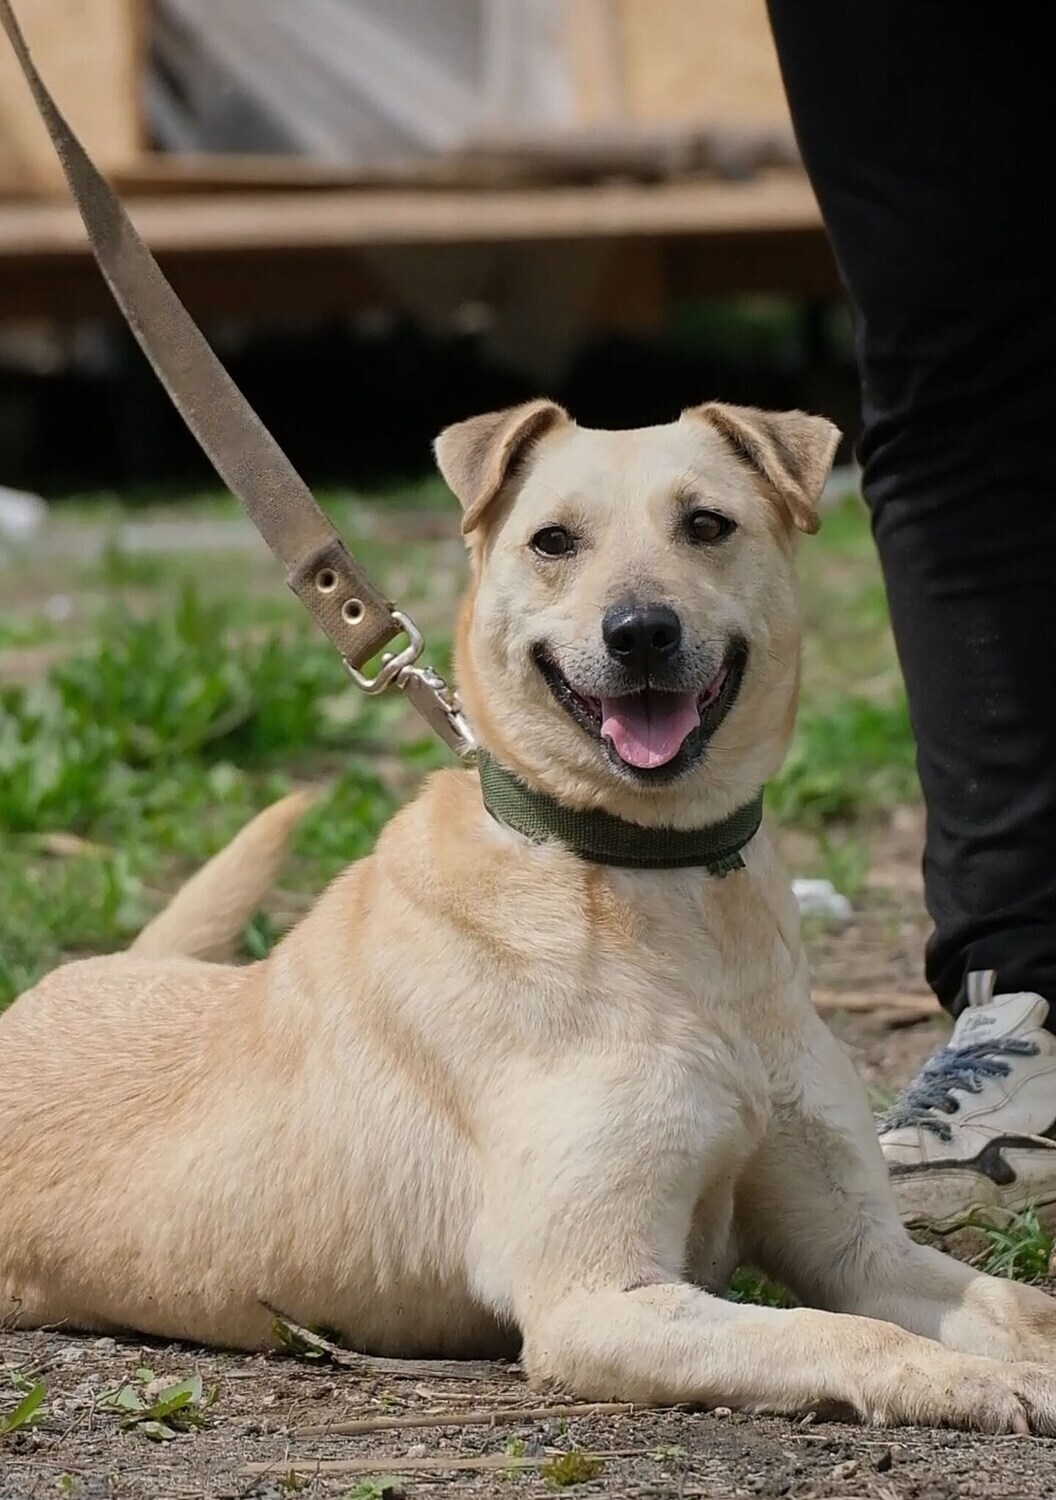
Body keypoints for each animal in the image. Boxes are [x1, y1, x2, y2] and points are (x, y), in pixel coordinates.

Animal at [6, 396, 1056, 1428]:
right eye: (553, 540)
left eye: (706, 525)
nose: (641, 631)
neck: (651, 872)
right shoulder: (598, 1298)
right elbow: (841, 1333)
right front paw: (974, 1382)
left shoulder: (859, 1247)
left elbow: (1012, 1304)